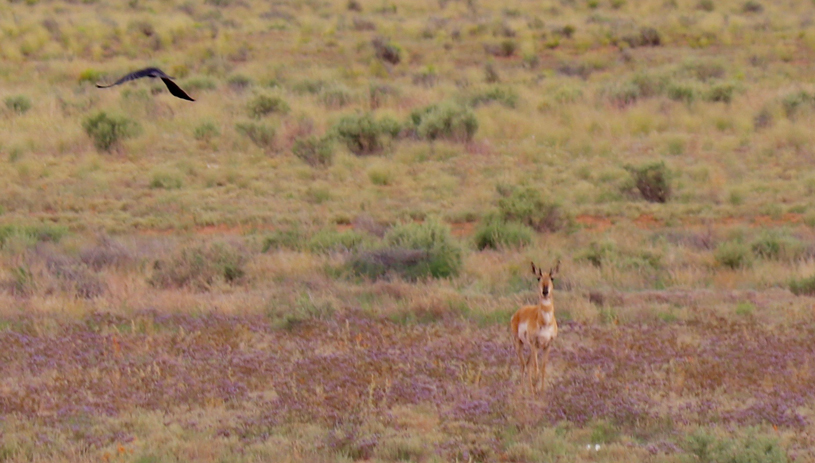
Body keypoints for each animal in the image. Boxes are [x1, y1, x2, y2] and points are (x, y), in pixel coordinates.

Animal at [510, 260, 560, 394]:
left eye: (552, 278)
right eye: (538, 278)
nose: (545, 291)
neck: (544, 322)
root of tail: (518, 312)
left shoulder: (547, 345)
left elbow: (542, 368)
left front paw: (541, 391)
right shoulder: (534, 344)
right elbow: (536, 367)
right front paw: (535, 389)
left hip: (532, 349)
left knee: (527, 364)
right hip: (519, 344)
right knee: (523, 365)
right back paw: (523, 390)